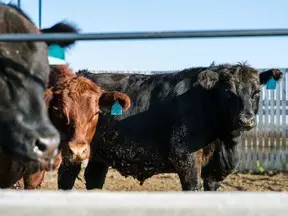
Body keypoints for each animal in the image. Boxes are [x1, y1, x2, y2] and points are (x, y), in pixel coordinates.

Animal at [75, 62, 284, 191]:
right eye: (228, 92)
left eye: (257, 92)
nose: (246, 120)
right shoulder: (186, 159)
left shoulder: (214, 174)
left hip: (100, 154)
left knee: (94, 178)